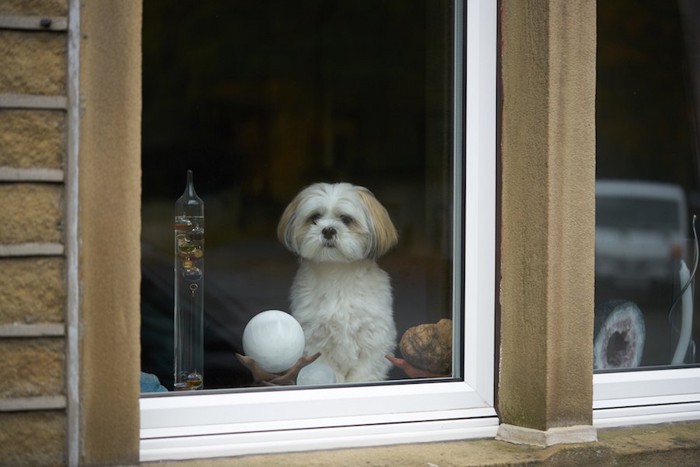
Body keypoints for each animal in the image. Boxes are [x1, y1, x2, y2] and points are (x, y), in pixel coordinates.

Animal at [278, 183, 400, 384]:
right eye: (315, 218)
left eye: (346, 219)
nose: (328, 230)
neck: (338, 271)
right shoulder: (316, 341)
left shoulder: (373, 339)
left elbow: (364, 374)